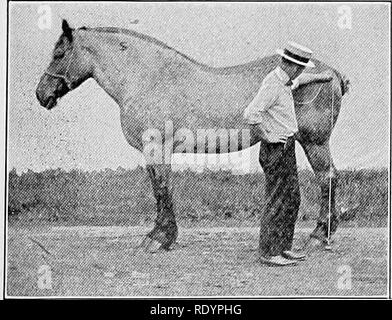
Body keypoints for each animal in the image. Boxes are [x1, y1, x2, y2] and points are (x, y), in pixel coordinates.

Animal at [36, 20, 350, 252]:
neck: (148, 77)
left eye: (59, 54)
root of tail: (331, 73)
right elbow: (163, 188)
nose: (41, 94)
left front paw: (158, 238)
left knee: (327, 177)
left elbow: (161, 189)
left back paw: (319, 235)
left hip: (315, 141)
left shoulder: (156, 147)